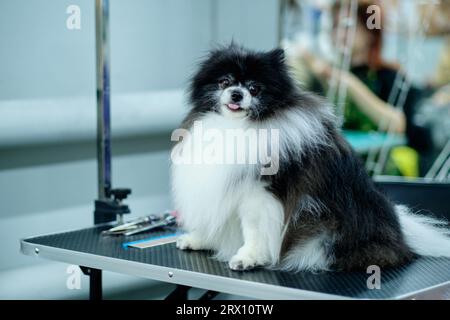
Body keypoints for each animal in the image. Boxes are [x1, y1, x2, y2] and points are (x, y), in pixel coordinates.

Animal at [171, 43, 450, 272]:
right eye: (224, 82)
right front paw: (199, 239)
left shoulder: (260, 195)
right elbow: (214, 220)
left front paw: (248, 257)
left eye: (254, 88)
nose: (237, 94)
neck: (237, 127)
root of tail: (401, 236)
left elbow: (253, 231)